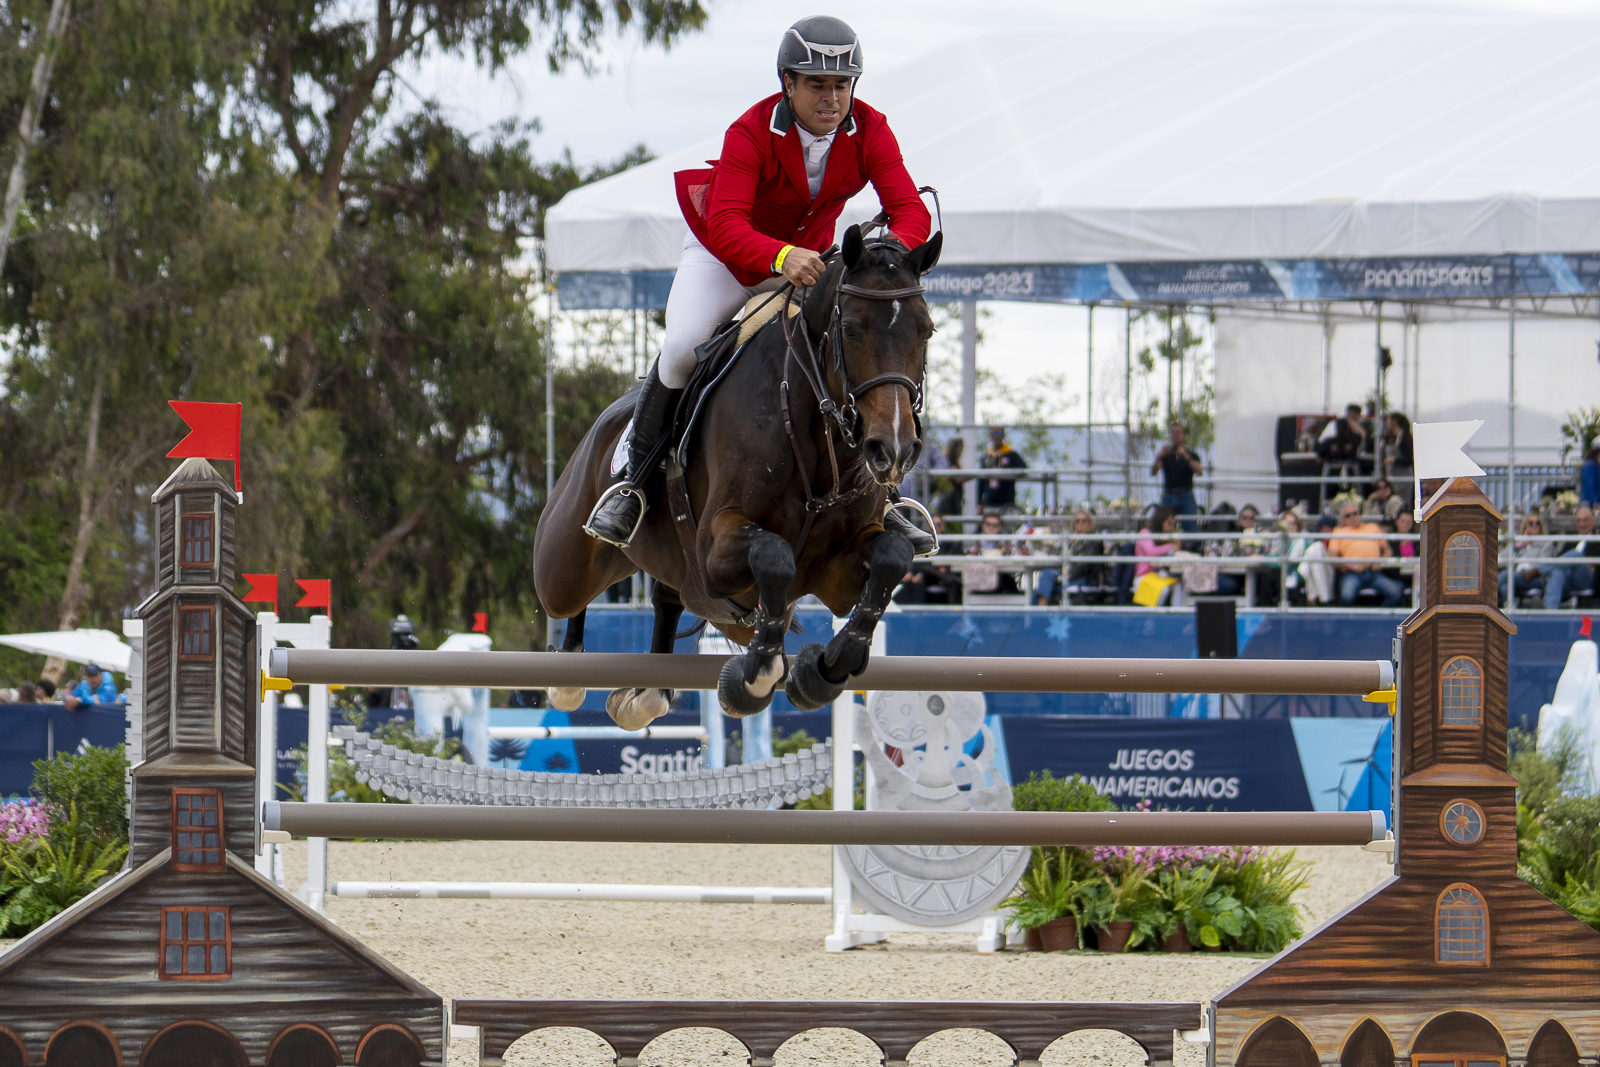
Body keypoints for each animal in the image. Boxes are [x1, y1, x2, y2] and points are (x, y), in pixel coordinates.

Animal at [531, 220, 940, 729]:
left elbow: (892, 555)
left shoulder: (837, 575)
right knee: (569, 602)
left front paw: (824, 670)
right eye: (850, 329)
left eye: (926, 331)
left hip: (696, 589)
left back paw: (644, 696)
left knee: (669, 601)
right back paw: (569, 673)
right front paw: (758, 677)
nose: (895, 449)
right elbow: (774, 554)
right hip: (562, 568)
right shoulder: (716, 544)